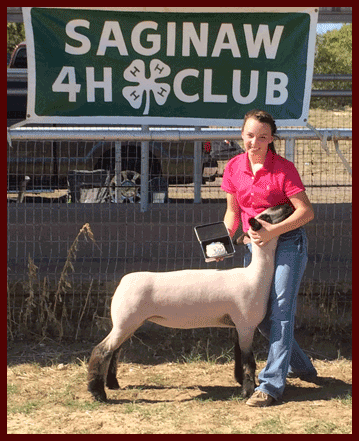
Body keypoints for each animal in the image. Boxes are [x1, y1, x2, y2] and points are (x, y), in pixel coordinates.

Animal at [88, 204, 296, 402]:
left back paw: (112, 384)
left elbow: (238, 355)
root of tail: (123, 283)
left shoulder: (238, 324)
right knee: (102, 351)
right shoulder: (246, 324)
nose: (288, 206)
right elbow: (248, 360)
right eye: (266, 216)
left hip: (128, 322)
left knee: (115, 351)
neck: (255, 275)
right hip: (126, 320)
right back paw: (98, 393)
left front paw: (240, 382)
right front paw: (247, 391)